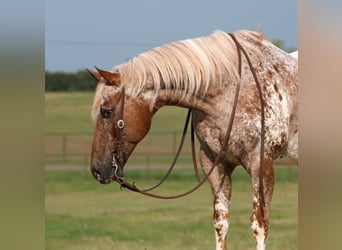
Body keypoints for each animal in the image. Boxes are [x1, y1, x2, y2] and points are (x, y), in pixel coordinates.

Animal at [89, 29, 298, 250]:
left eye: (106, 111)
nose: (97, 170)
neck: (233, 89)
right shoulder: (215, 164)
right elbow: (221, 222)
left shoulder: (261, 165)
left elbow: (259, 224)